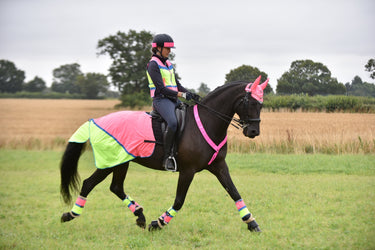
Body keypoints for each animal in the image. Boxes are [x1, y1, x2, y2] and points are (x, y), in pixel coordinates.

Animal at [60, 75, 268, 231]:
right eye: (249, 102)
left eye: (261, 104)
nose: (253, 132)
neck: (207, 122)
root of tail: (94, 121)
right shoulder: (188, 171)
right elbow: (179, 200)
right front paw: (159, 223)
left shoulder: (218, 165)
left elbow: (234, 192)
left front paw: (252, 223)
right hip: (111, 162)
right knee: (89, 184)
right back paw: (70, 214)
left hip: (122, 162)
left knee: (116, 187)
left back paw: (140, 216)